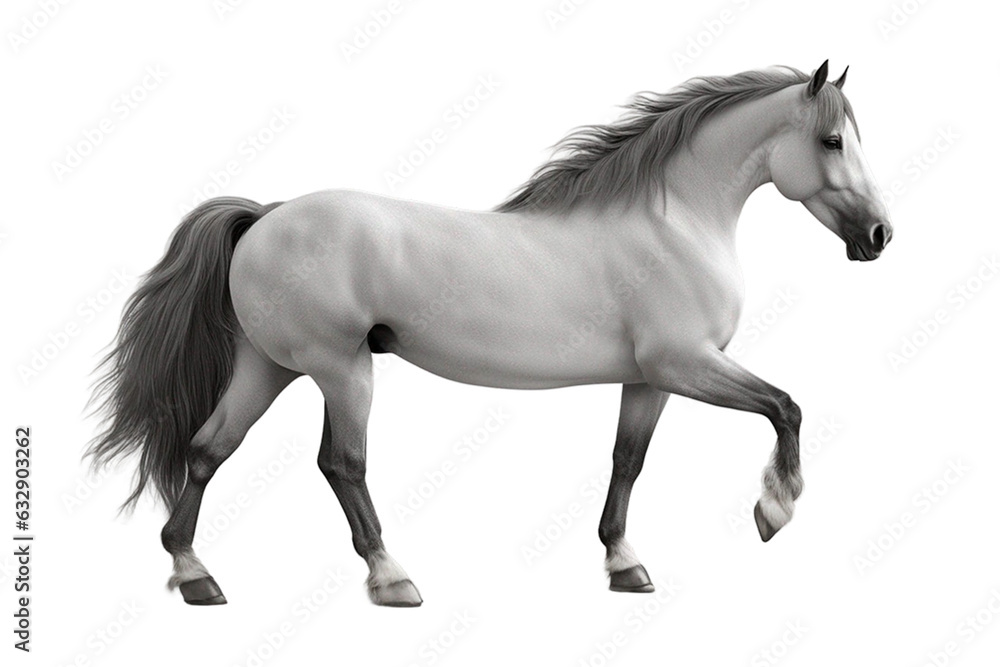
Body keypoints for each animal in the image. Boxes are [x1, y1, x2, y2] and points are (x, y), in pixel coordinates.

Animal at [88, 60, 892, 607]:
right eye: (831, 140)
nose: (880, 236)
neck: (675, 222)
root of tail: (267, 214)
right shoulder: (685, 364)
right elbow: (786, 407)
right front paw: (774, 508)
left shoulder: (648, 379)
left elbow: (627, 461)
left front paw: (624, 564)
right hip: (339, 367)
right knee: (341, 463)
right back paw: (392, 578)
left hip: (266, 366)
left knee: (207, 449)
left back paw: (194, 574)